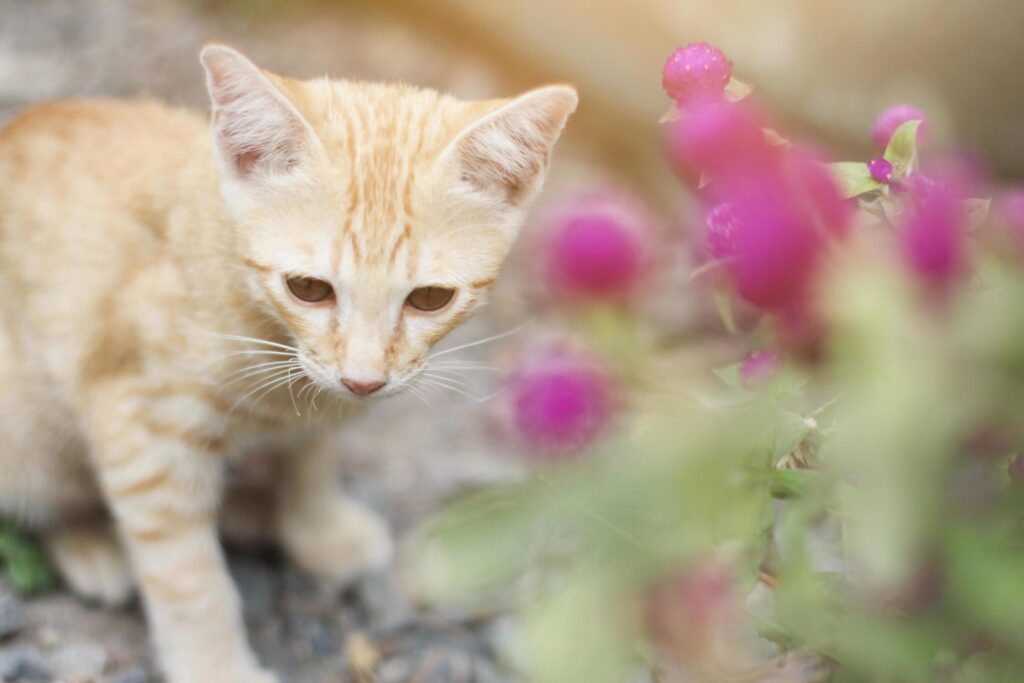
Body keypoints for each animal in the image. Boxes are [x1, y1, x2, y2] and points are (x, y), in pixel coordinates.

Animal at [0, 44, 577, 683]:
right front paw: (215, 666)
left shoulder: (322, 403)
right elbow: (187, 577)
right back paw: (94, 544)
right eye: (308, 289)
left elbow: (312, 459)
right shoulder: (141, 426)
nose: (364, 379)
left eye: (430, 298)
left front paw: (319, 530)